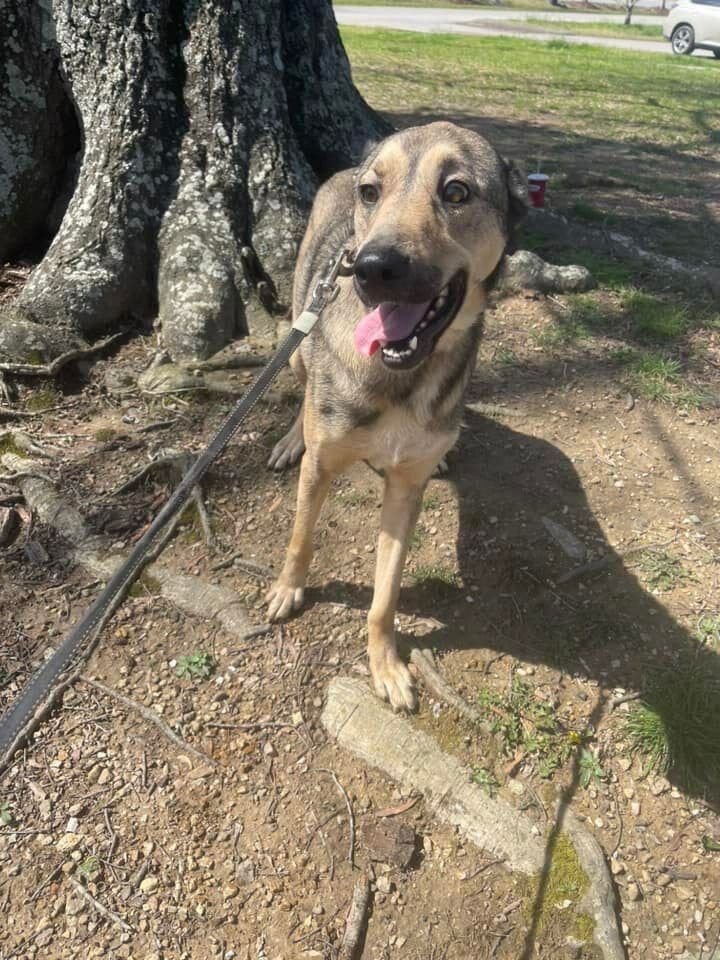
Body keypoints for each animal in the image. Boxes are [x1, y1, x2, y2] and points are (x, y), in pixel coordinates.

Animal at [262, 120, 524, 708]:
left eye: (456, 191)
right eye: (371, 193)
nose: (372, 268)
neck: (401, 377)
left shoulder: (406, 489)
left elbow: (385, 596)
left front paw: (384, 664)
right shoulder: (322, 467)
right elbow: (301, 538)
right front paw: (288, 588)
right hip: (297, 337)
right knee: (302, 381)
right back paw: (291, 438)